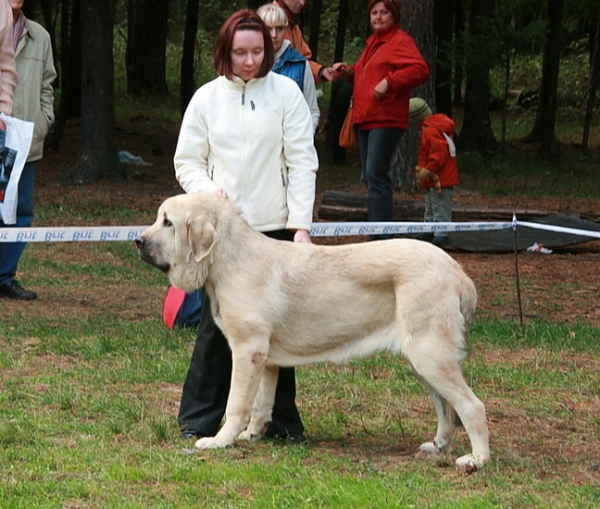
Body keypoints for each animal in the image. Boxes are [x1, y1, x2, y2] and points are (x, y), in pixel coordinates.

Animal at [138, 192, 490, 470]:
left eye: (168, 223)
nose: (138, 241)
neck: (228, 258)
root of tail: (457, 272)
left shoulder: (247, 350)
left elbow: (236, 404)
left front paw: (221, 440)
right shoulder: (266, 358)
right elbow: (261, 403)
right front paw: (253, 434)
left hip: (430, 355)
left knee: (471, 406)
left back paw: (477, 460)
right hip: (423, 360)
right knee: (447, 408)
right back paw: (438, 445)